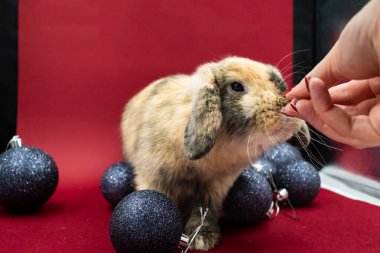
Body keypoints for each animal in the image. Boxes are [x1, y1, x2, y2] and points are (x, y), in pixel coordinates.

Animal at [120, 56, 310, 250]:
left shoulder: (216, 185)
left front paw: (203, 238)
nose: (286, 105)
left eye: (279, 84)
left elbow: (205, 210)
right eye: (237, 86)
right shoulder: (155, 178)